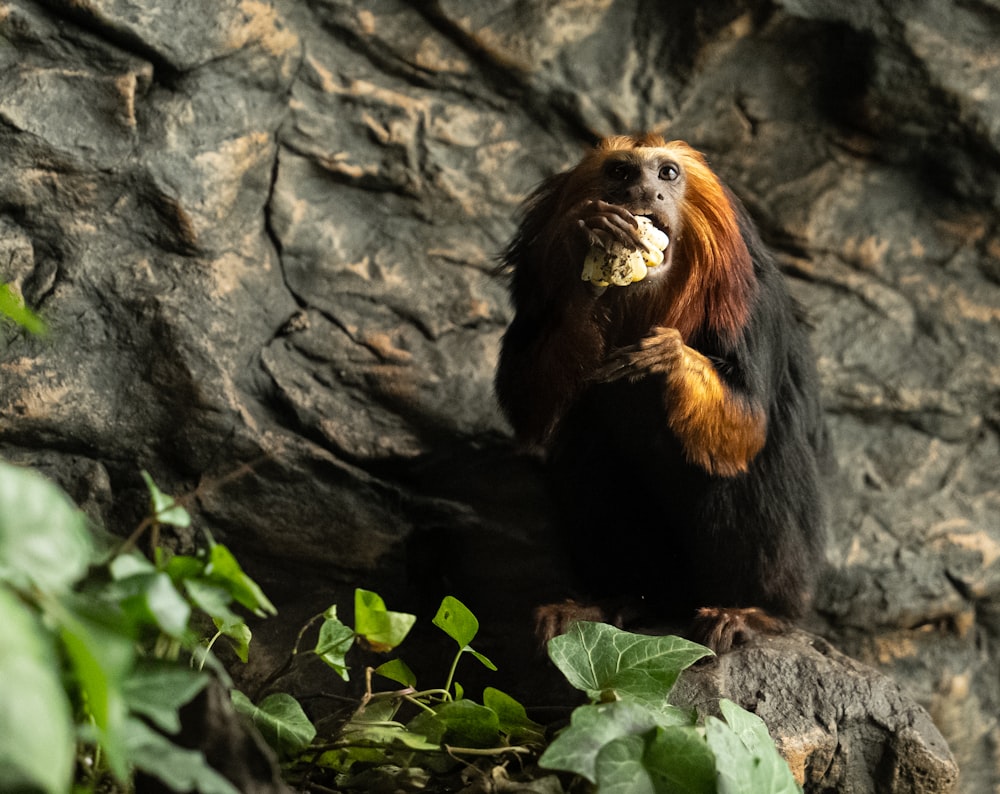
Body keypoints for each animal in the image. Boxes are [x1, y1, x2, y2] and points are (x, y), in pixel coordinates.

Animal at [494, 133, 828, 652]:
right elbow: (528, 405)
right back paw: (616, 599)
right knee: (590, 451)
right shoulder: (534, 293)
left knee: (755, 469)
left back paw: (758, 612)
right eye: (621, 173)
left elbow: (748, 428)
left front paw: (670, 358)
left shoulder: (751, 302)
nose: (644, 192)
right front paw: (591, 275)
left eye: (667, 173)